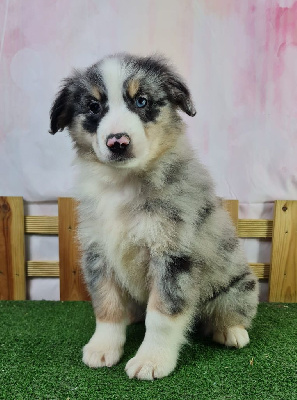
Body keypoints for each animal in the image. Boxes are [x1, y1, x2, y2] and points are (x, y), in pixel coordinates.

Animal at [49, 54, 258, 382]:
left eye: (142, 101)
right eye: (94, 106)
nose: (118, 142)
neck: (123, 184)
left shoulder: (173, 255)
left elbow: (161, 316)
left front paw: (151, 360)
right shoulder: (98, 252)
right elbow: (107, 306)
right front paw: (103, 347)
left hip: (238, 286)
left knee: (232, 312)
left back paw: (231, 332)